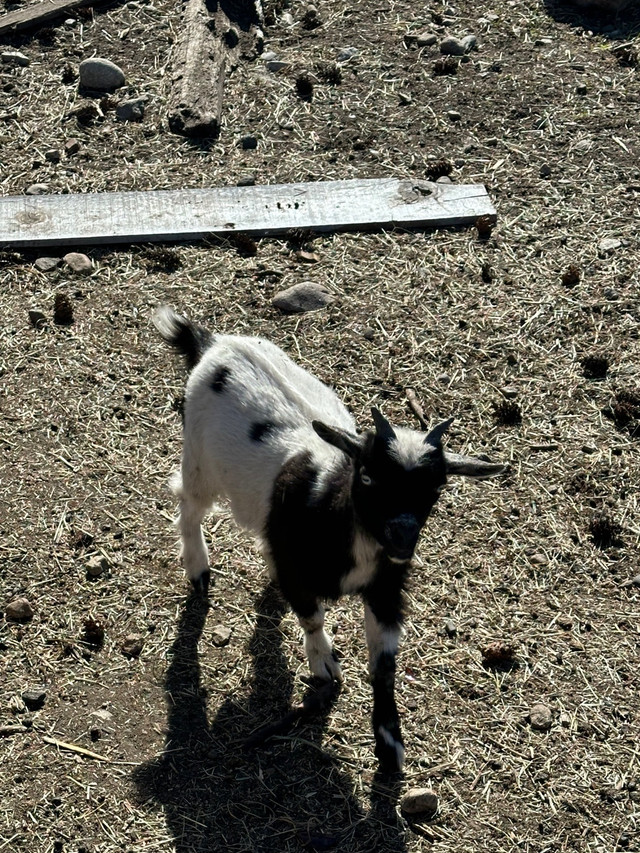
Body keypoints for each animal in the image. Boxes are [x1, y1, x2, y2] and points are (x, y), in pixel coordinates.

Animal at [155, 308, 504, 772]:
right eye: (368, 477)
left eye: (436, 488)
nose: (402, 541)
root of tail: (214, 343)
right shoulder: (296, 568)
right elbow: (312, 616)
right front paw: (324, 662)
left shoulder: (386, 586)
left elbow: (384, 664)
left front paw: (389, 743)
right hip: (198, 459)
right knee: (188, 502)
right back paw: (198, 568)